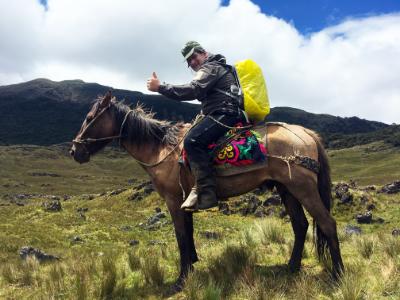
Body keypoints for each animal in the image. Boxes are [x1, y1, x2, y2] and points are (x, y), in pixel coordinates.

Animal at [69, 91, 344, 290]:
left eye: (90, 117)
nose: (74, 151)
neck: (160, 149)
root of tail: (307, 133)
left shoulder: (173, 200)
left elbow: (181, 236)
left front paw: (180, 281)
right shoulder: (184, 200)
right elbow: (188, 234)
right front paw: (191, 266)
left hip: (303, 188)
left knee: (327, 224)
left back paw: (338, 274)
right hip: (287, 190)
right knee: (301, 225)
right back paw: (291, 267)